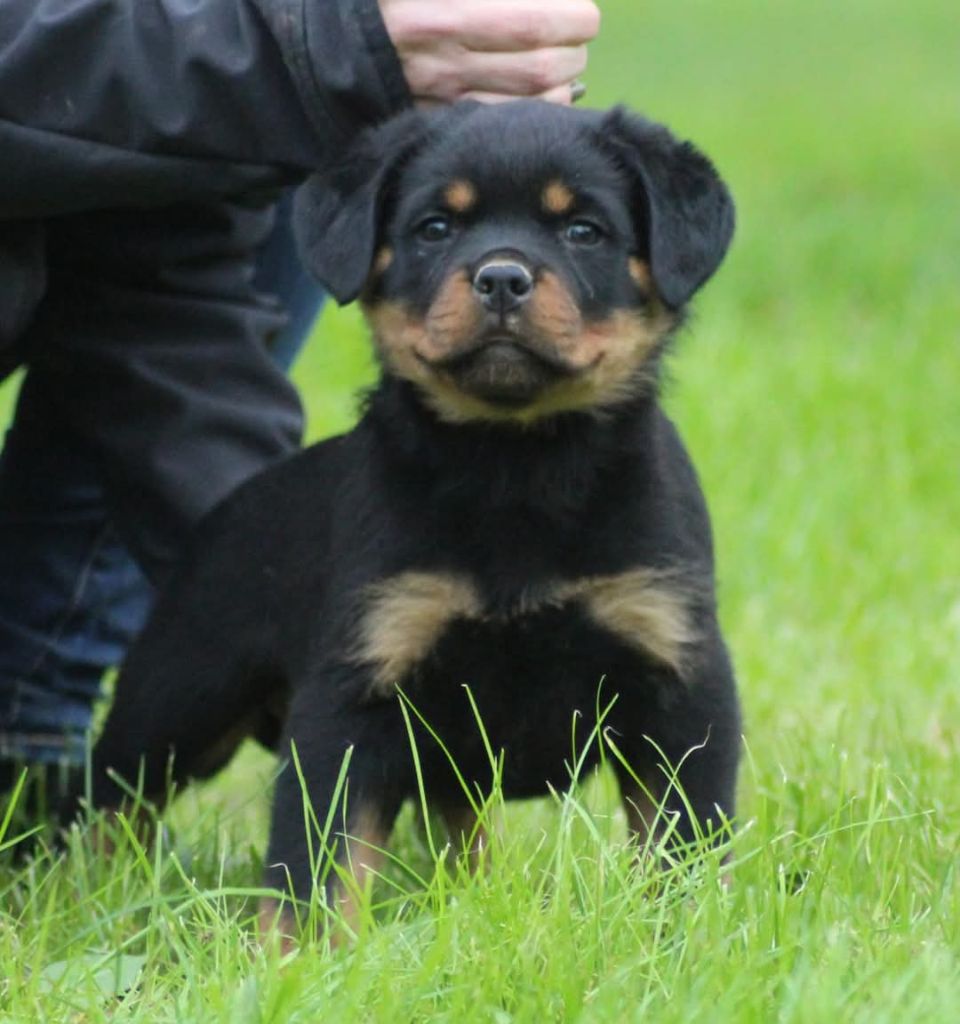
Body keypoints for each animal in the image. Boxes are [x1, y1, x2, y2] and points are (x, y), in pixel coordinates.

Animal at [67, 99, 740, 937]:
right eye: (434, 228)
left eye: (584, 230)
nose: (502, 277)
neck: (515, 464)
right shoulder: (356, 685)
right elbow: (318, 859)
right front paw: (302, 955)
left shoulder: (678, 673)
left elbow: (684, 843)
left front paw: (689, 935)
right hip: (177, 692)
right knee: (106, 799)